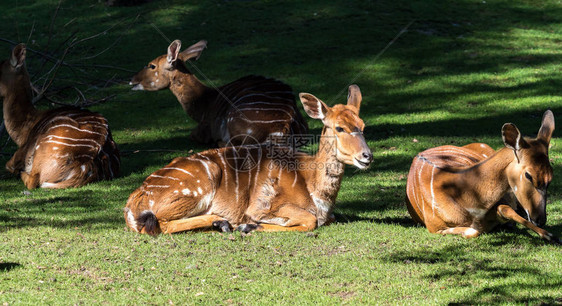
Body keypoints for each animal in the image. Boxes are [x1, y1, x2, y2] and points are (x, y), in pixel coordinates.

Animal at [0, 43, 119, 189]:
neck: (25, 131)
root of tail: (85, 166)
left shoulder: (19, 154)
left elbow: (8, 165)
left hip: (42, 151)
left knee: (33, 180)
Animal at [122, 85, 372, 233]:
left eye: (362, 126)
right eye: (339, 127)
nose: (367, 156)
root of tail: (133, 202)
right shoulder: (263, 204)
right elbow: (309, 221)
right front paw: (250, 226)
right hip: (196, 187)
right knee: (159, 223)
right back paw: (226, 222)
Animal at [404, 110, 556, 244]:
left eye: (550, 177)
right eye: (528, 175)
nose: (540, 219)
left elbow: (505, 210)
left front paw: (549, 235)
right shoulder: (434, 227)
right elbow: (473, 231)